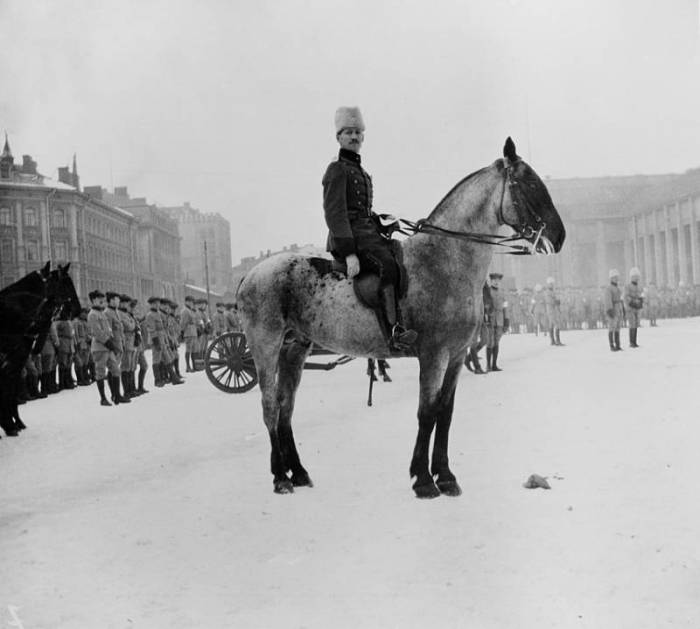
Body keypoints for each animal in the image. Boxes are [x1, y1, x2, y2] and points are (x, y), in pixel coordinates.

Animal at [238, 140, 568, 498]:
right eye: (529, 184)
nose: (559, 236)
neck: (444, 260)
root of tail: (250, 275)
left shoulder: (455, 355)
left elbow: (445, 412)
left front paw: (445, 475)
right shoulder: (434, 355)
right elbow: (427, 412)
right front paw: (423, 480)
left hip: (295, 349)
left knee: (286, 407)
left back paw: (297, 472)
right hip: (266, 346)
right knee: (270, 406)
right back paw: (280, 477)